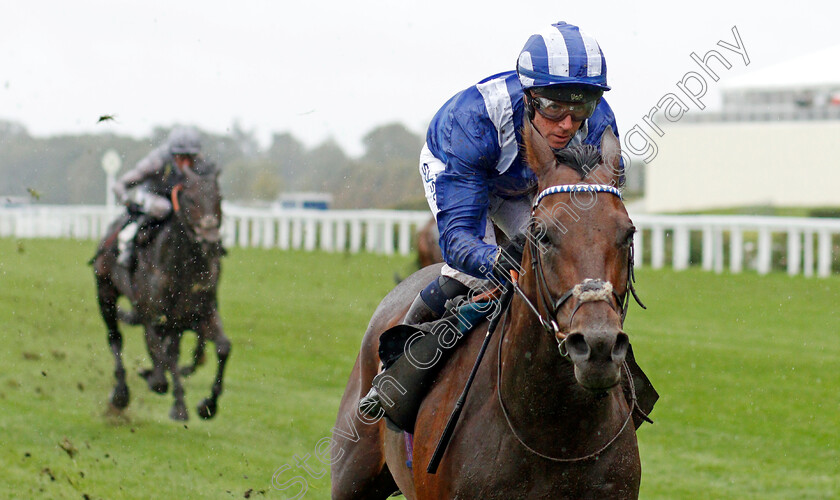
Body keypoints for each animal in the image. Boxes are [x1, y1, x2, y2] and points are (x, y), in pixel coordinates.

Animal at [92, 162, 231, 420]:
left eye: (219, 197)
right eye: (189, 198)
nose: (210, 236)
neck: (183, 267)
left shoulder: (201, 313)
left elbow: (223, 347)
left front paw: (207, 405)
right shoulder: (154, 315)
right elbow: (164, 359)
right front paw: (178, 405)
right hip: (105, 293)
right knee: (116, 338)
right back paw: (121, 392)